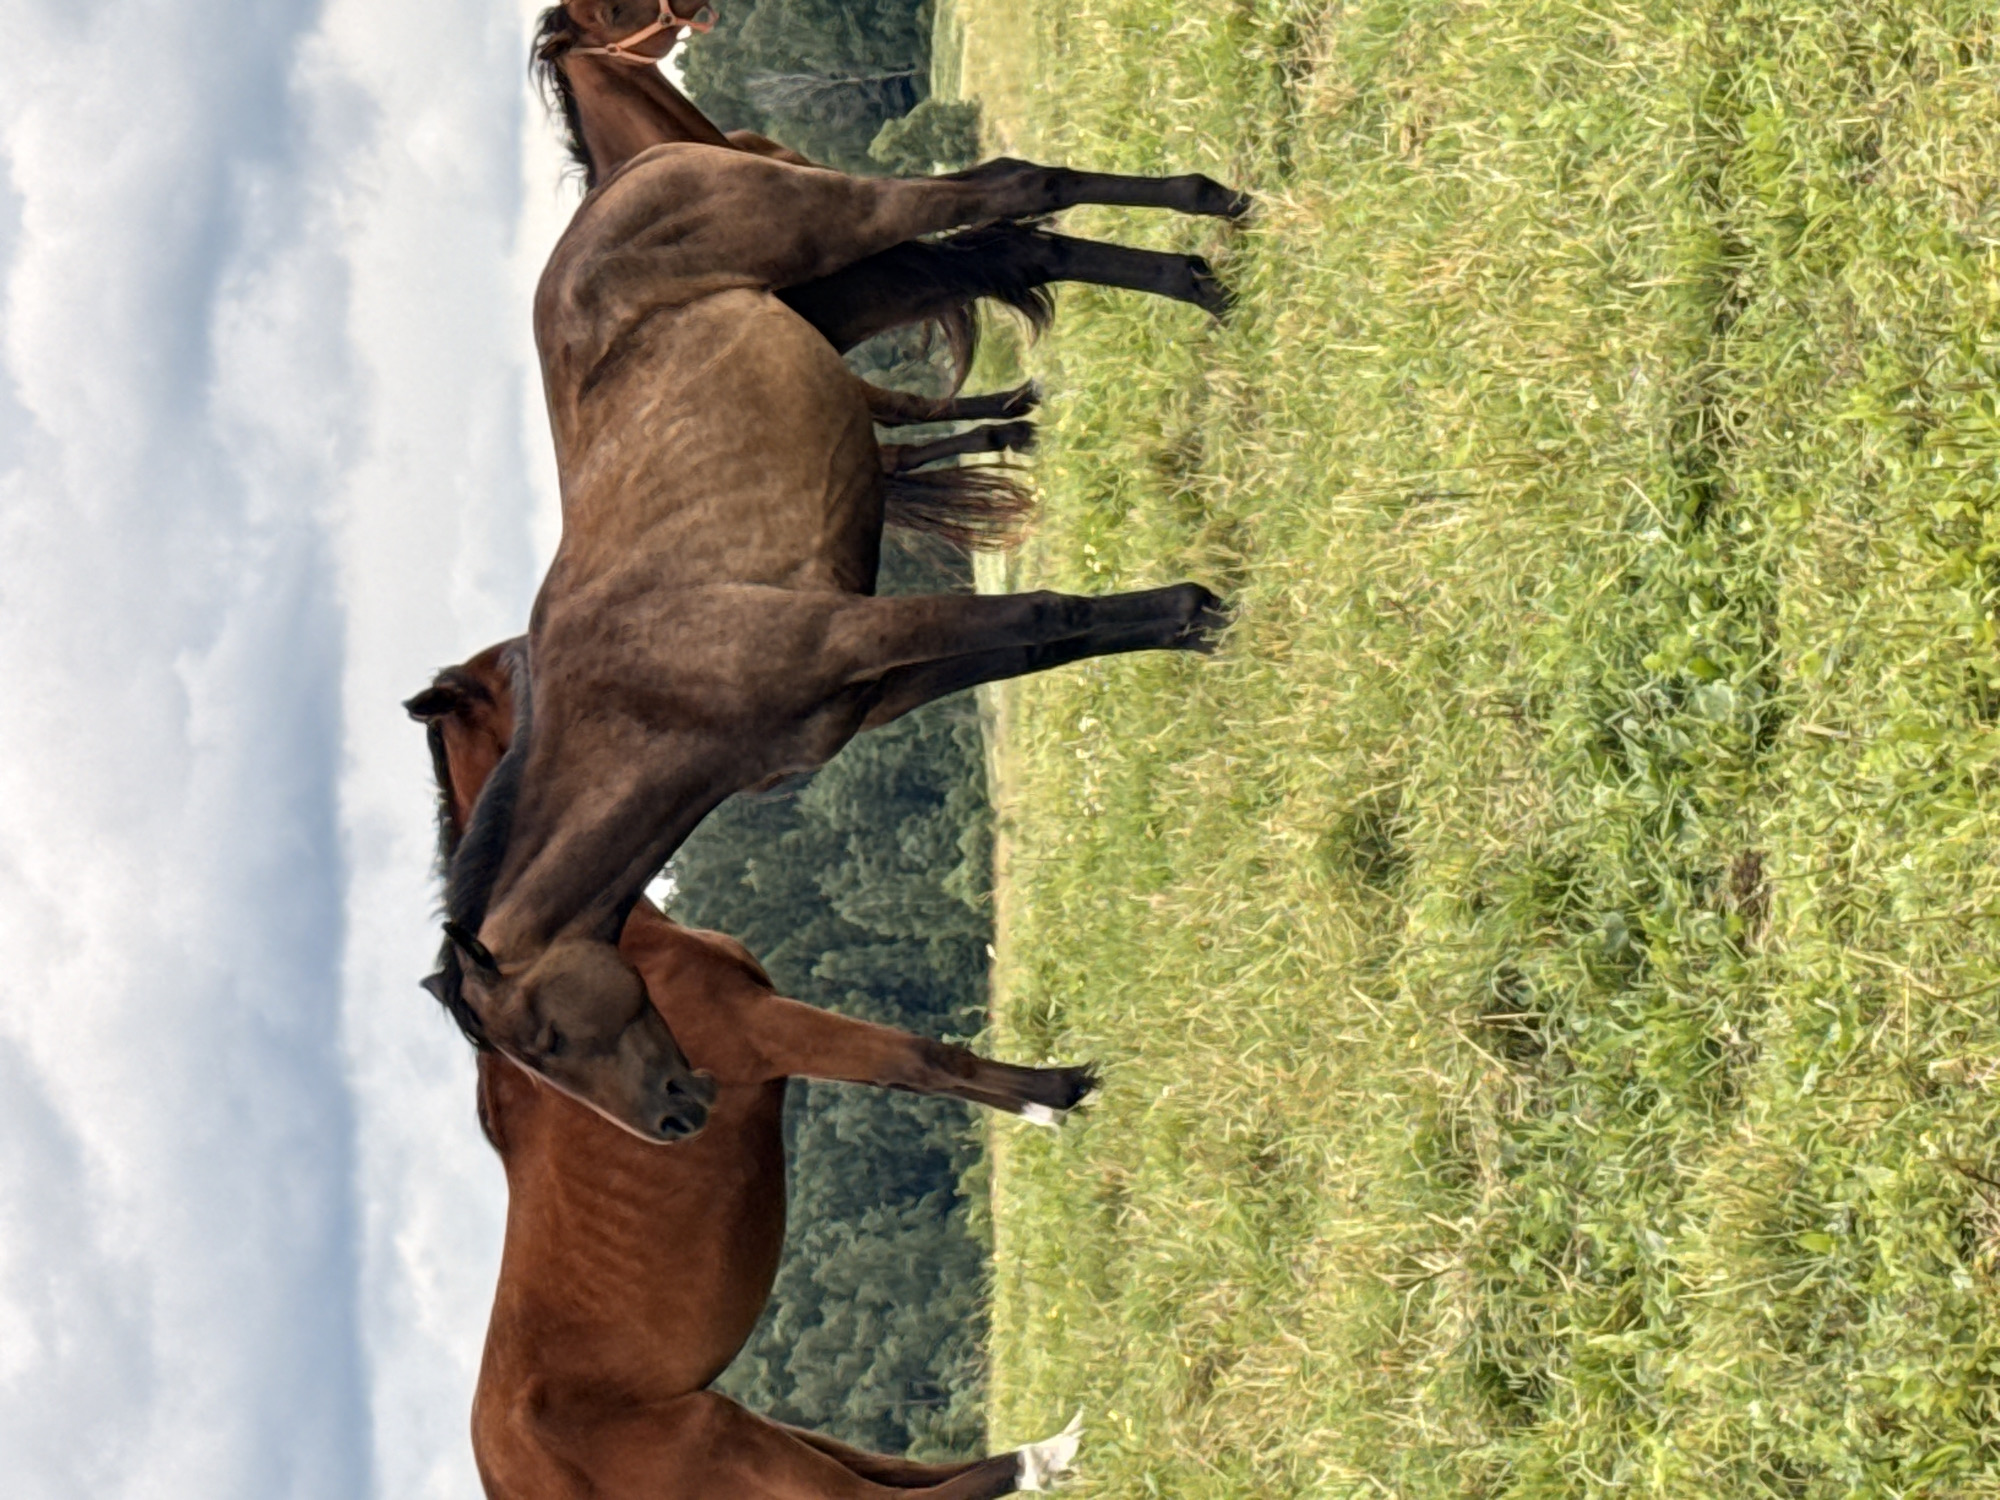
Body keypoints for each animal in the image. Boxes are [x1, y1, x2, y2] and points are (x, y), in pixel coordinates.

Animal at [411, 644, 1090, 1499]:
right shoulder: (769, 1034)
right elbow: (923, 1061)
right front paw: (1063, 1093)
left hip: (769, 1435)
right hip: (736, 1443)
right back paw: (1047, 1452)